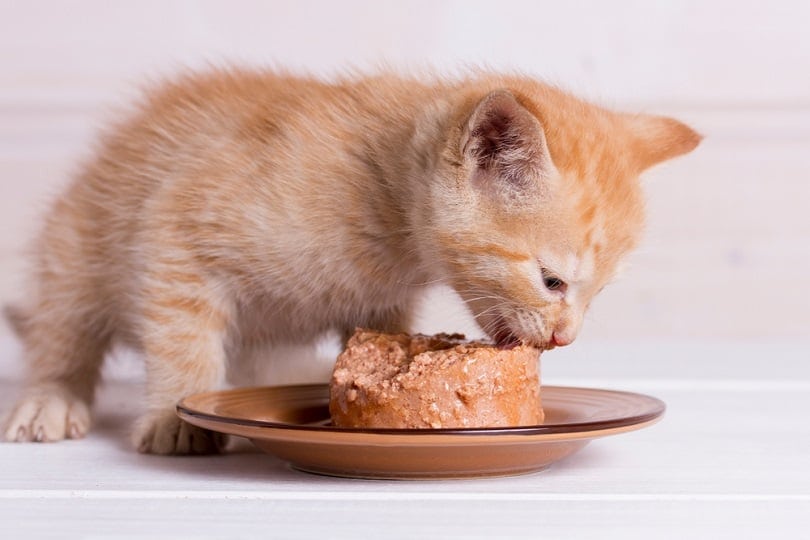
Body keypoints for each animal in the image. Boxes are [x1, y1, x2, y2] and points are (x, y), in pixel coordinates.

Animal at [0, 69, 696, 454]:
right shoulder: (177, 226)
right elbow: (181, 338)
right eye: (552, 281)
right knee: (63, 329)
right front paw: (177, 414)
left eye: (597, 293)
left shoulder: (381, 300)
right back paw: (49, 400)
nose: (564, 338)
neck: (388, 210)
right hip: (77, 244)